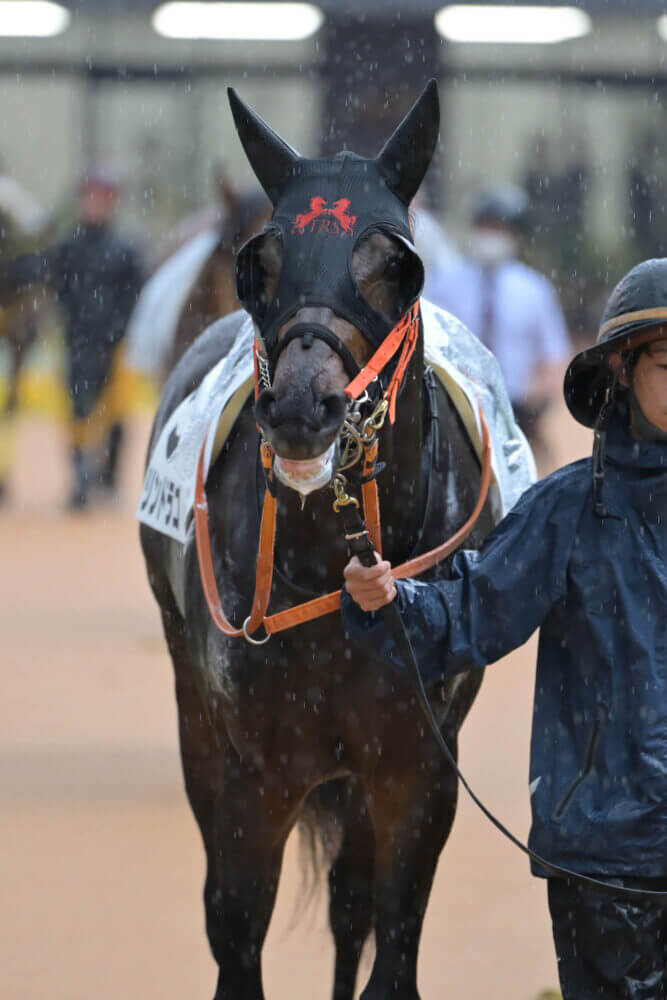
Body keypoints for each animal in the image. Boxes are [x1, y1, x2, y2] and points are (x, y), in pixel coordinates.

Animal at [142, 80, 500, 1000]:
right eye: (259, 264)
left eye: (395, 266)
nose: (304, 406)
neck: (333, 570)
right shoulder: (252, 771)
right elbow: (235, 935)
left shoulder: (417, 768)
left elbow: (389, 942)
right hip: (193, 708)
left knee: (351, 905)